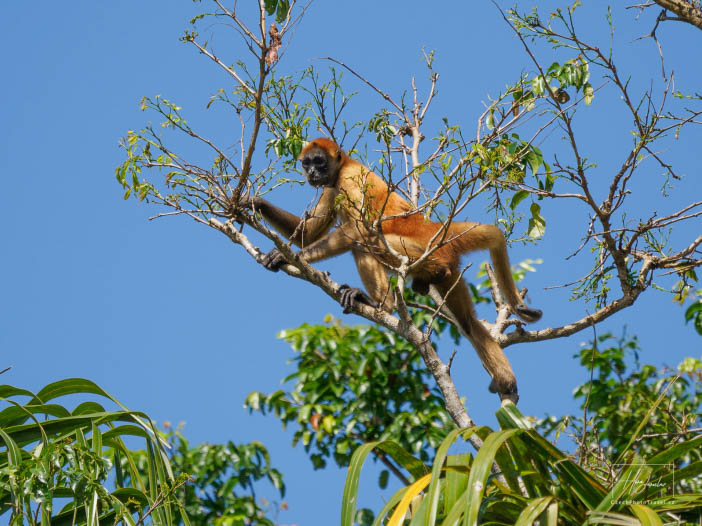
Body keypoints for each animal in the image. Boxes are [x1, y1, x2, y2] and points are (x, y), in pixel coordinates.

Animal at [239, 138, 540, 402]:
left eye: (319, 162)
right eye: (307, 163)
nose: (312, 172)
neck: (346, 164)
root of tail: (431, 228)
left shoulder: (347, 180)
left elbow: (358, 230)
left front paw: (286, 255)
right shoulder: (330, 187)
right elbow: (308, 234)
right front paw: (254, 203)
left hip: (416, 247)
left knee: (364, 242)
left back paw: (384, 302)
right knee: (467, 322)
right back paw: (503, 378)